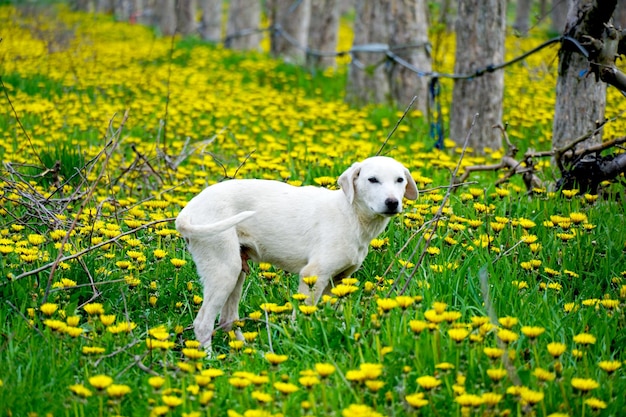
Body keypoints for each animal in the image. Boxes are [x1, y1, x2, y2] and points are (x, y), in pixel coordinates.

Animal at [176, 156, 416, 348]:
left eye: (400, 180)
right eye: (372, 180)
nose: (392, 203)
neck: (350, 214)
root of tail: (188, 210)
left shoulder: (338, 281)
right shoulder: (313, 275)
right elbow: (302, 316)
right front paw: (298, 340)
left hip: (236, 272)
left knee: (227, 319)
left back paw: (246, 352)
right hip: (224, 270)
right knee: (203, 323)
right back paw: (209, 362)